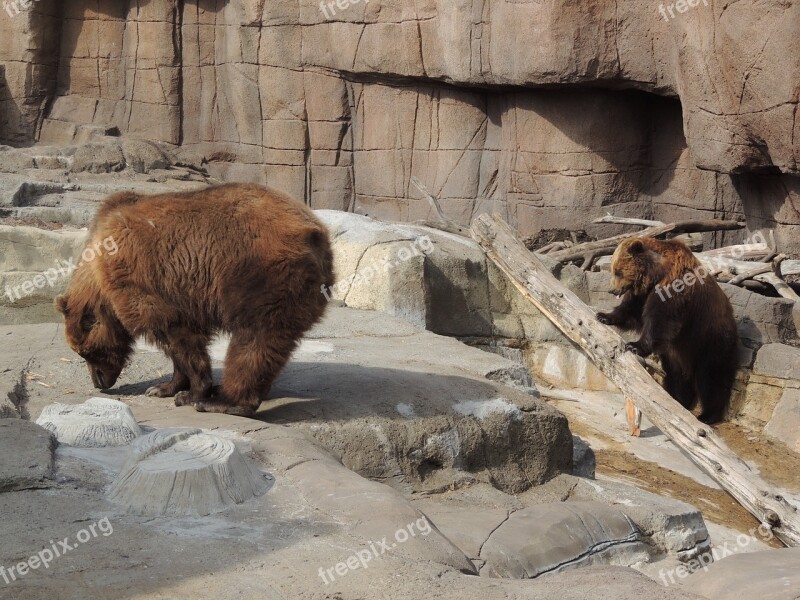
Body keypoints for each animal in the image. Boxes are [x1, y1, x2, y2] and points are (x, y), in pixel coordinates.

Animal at [55, 183, 332, 414]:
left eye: (85, 352)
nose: (99, 382)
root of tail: (314, 230)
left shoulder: (145, 283)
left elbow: (179, 337)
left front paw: (192, 393)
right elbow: (174, 344)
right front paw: (163, 388)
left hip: (262, 275)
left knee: (255, 339)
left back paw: (224, 401)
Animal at [596, 237, 740, 424]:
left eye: (618, 272)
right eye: (613, 270)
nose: (612, 290)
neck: (657, 271)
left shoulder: (674, 285)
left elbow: (661, 318)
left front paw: (634, 345)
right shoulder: (643, 293)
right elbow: (631, 310)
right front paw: (604, 316)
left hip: (711, 339)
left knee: (711, 377)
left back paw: (707, 415)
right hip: (679, 352)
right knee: (677, 375)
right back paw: (679, 400)